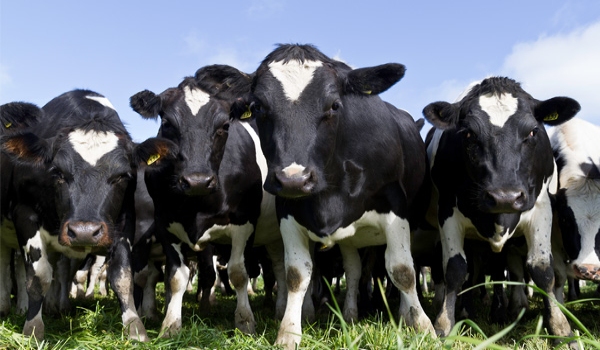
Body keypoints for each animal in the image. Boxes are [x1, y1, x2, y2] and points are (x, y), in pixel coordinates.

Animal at [0, 89, 148, 340]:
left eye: (122, 176)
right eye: (57, 172)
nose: (84, 232)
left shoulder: (125, 221)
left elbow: (123, 276)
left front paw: (135, 329)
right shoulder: (25, 215)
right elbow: (39, 276)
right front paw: (33, 329)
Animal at [128, 64, 286, 338]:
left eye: (224, 125)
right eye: (167, 123)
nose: (197, 181)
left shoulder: (244, 223)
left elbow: (238, 273)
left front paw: (245, 322)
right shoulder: (166, 224)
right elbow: (176, 278)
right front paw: (170, 325)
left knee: (278, 269)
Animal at [202, 44, 436, 350]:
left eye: (334, 105)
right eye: (258, 107)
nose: (294, 178)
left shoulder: (396, 210)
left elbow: (402, 270)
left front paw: (424, 326)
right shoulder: (288, 211)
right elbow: (296, 274)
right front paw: (289, 332)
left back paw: (402, 314)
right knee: (353, 270)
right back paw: (349, 314)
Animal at [422, 77, 580, 344]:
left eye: (532, 131)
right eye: (468, 133)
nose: (504, 197)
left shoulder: (542, 209)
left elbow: (542, 270)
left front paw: (561, 329)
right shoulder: (448, 211)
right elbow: (455, 269)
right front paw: (444, 325)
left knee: (496, 269)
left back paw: (499, 311)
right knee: (473, 272)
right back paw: (468, 310)